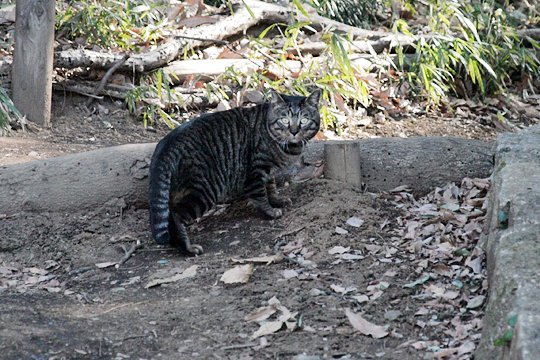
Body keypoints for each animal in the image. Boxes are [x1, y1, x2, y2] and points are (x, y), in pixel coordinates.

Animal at [148, 88, 320, 255]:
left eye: (303, 120)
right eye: (285, 120)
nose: (294, 131)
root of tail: (167, 143)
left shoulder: (268, 171)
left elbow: (270, 186)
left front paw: (277, 200)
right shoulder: (256, 169)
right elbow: (260, 194)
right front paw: (270, 211)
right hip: (206, 189)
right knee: (176, 214)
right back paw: (186, 247)